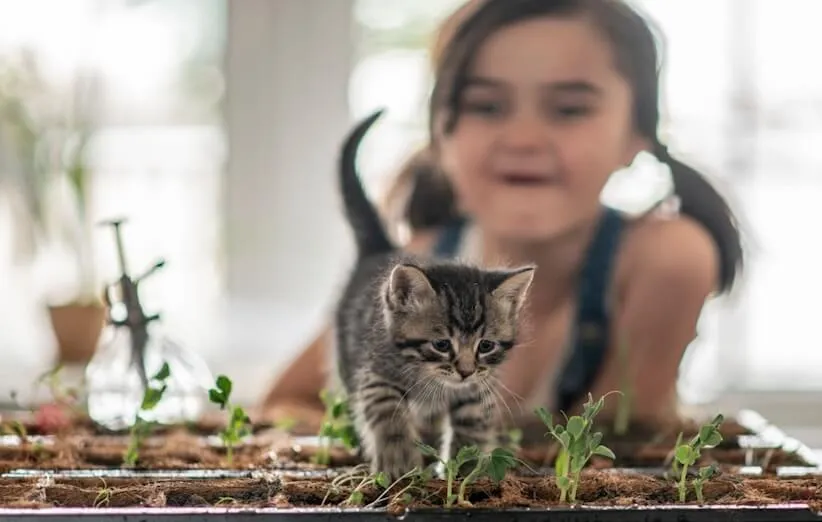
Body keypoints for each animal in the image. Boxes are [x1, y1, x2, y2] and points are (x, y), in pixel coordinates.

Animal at [334, 109, 536, 480]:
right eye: (442, 344)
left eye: (486, 346)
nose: (465, 371)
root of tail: (381, 250)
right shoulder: (375, 371)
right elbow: (386, 409)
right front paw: (398, 459)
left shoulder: (477, 390)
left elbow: (472, 424)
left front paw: (464, 469)